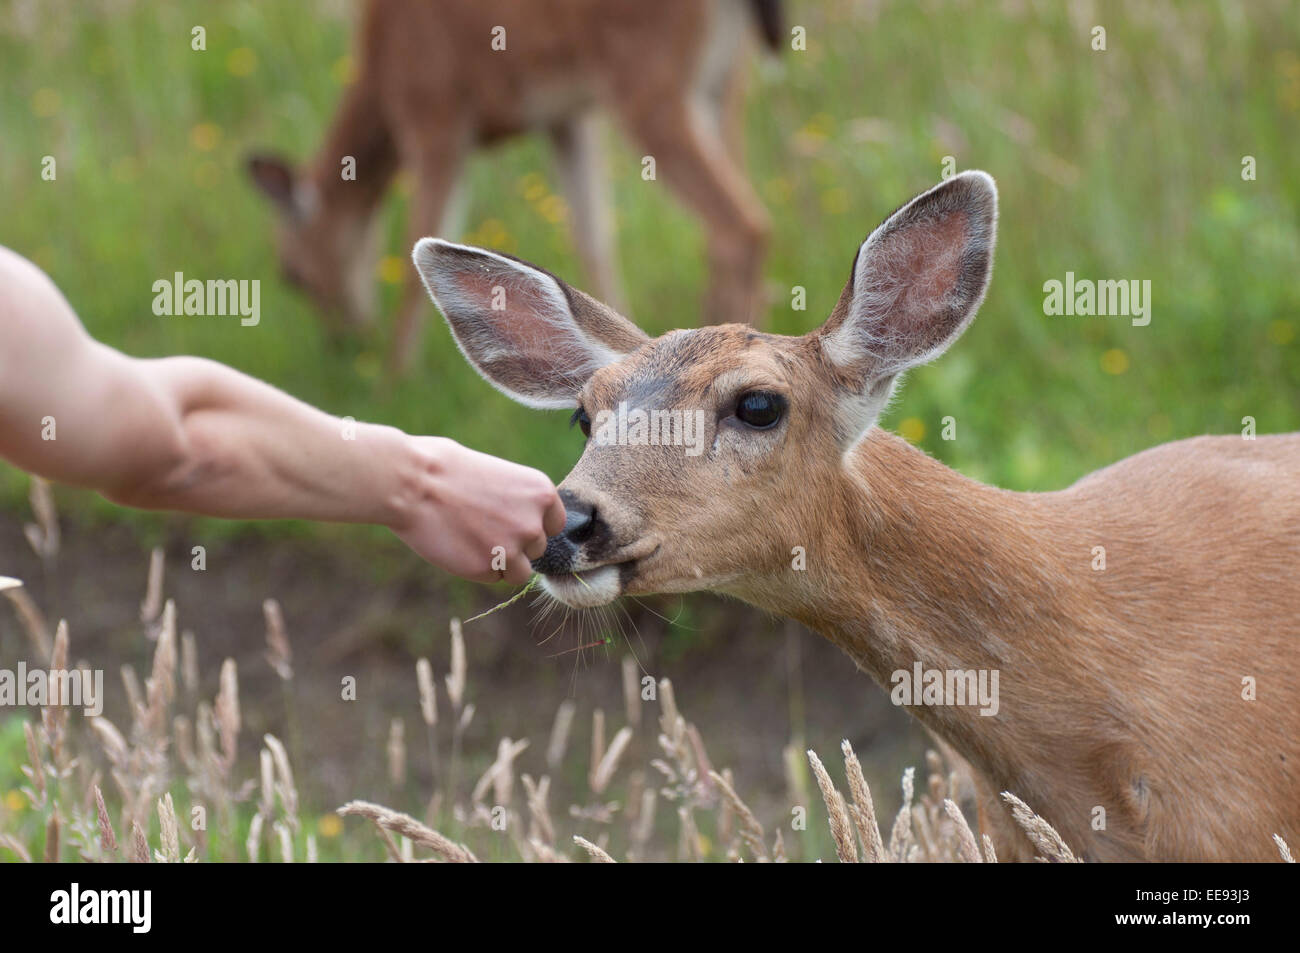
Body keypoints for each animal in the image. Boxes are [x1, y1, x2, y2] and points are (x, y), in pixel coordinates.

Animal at [247, 0, 781, 372]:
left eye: (290, 274)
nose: (343, 344)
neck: (378, 79)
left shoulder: (434, 113)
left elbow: (415, 251)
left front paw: (393, 381)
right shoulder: (567, 117)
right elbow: (592, 238)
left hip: (652, 78)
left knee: (743, 224)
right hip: (725, 79)